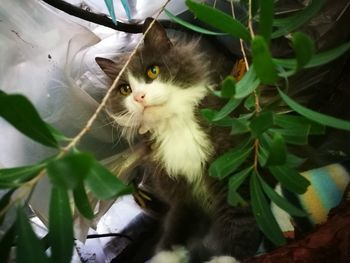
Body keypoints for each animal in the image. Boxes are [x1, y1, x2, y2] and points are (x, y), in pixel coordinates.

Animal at [94, 17, 262, 262]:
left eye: (153, 71)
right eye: (125, 89)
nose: (139, 97)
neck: (174, 126)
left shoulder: (232, 171)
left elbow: (239, 218)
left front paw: (226, 258)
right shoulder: (179, 190)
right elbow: (177, 224)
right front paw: (166, 255)